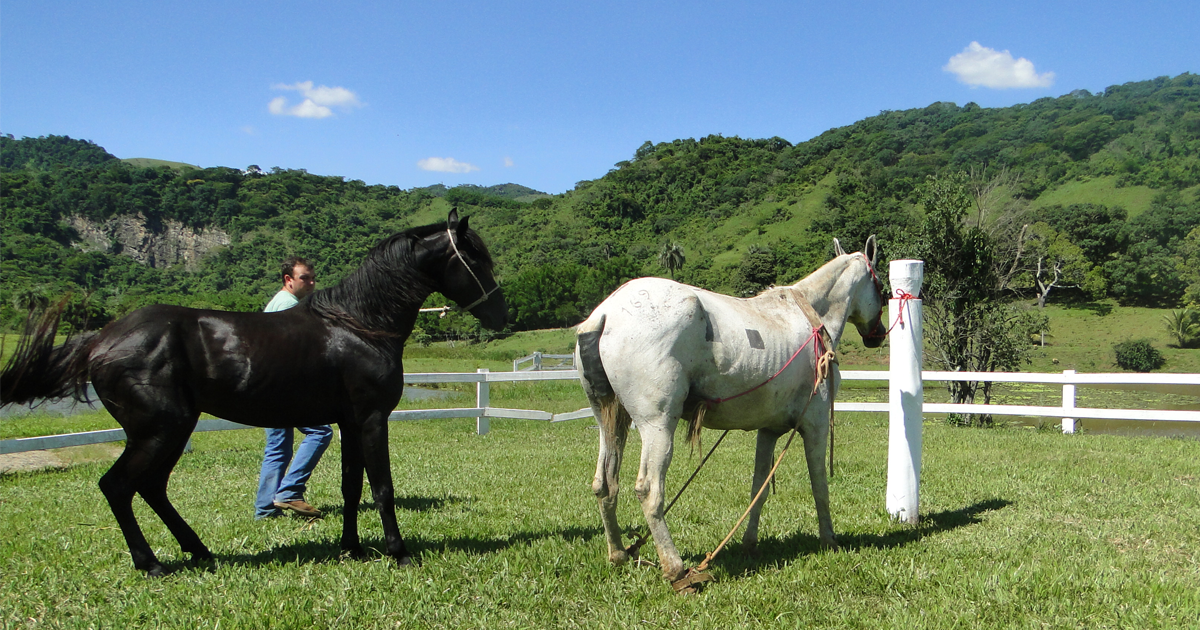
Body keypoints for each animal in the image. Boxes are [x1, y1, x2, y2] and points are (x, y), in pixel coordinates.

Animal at [0, 211, 504, 573]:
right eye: (476, 258)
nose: (503, 314)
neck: (359, 324)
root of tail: (100, 340)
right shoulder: (371, 419)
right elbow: (382, 487)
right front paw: (398, 553)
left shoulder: (348, 421)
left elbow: (351, 487)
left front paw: (352, 549)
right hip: (158, 431)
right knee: (119, 487)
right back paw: (152, 564)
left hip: (171, 431)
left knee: (152, 488)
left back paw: (199, 551)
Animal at [576, 235, 888, 590]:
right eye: (881, 287)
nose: (878, 334)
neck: (810, 316)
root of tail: (605, 315)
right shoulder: (816, 425)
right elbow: (819, 485)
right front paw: (829, 540)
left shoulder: (769, 430)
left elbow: (759, 489)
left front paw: (750, 544)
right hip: (657, 427)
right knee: (649, 490)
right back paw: (676, 569)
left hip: (611, 422)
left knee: (605, 484)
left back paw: (618, 554)